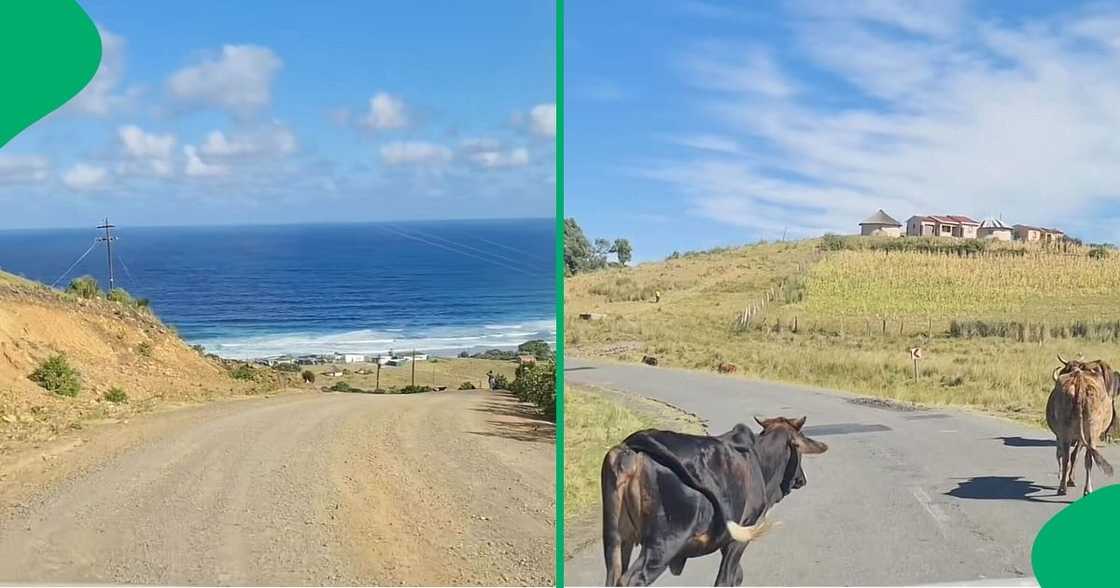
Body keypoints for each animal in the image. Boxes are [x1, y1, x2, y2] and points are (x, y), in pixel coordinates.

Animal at [600, 414, 828, 582]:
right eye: (799, 451)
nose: (801, 479)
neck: (760, 460)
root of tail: (632, 446)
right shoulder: (741, 536)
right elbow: (726, 579)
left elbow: (737, 576)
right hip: (664, 544)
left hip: (616, 539)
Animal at [1048, 356, 1111, 492]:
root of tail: (1079, 380)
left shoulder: (1060, 435)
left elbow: (1062, 454)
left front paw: (1066, 477)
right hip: (1091, 431)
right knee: (1086, 458)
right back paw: (1086, 489)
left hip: (1068, 432)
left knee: (1067, 456)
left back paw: (1063, 486)